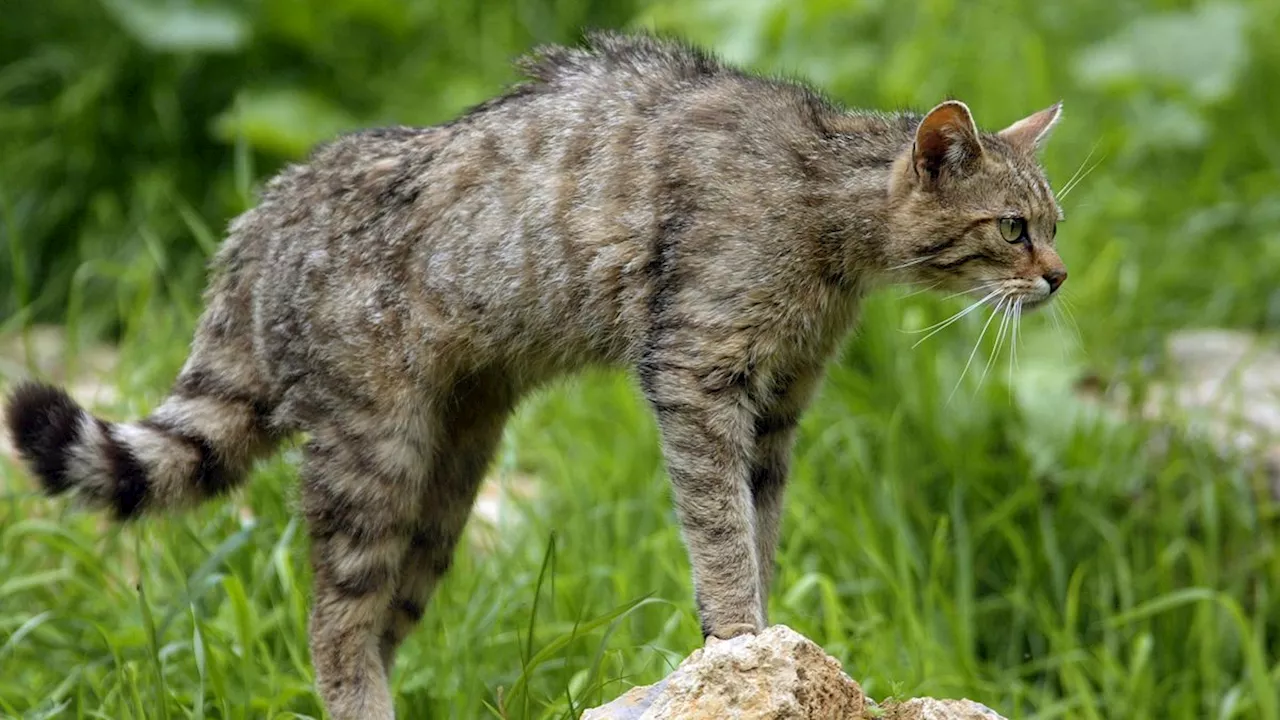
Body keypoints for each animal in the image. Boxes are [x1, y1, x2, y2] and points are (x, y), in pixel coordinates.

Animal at [7, 30, 1070, 712]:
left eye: (1055, 223)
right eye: (1013, 229)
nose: (1059, 276)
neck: (824, 209)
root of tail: (260, 215)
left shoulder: (777, 408)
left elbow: (757, 525)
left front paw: (764, 646)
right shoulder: (697, 371)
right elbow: (719, 528)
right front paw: (739, 637)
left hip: (446, 483)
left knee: (379, 620)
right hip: (372, 454)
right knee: (333, 626)